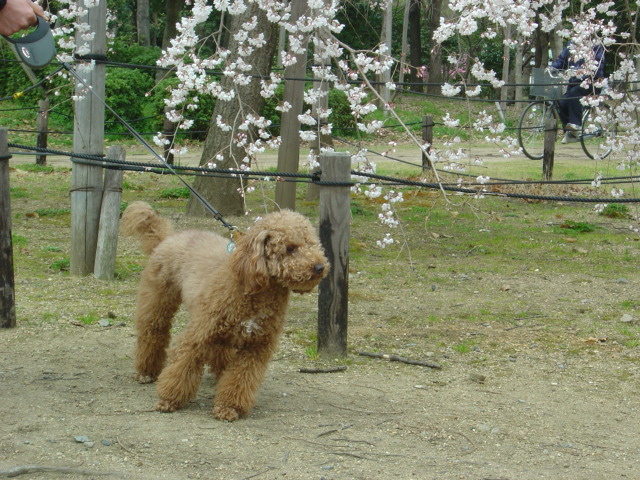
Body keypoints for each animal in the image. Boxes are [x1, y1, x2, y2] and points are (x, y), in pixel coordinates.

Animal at [121, 202, 330, 420]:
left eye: (313, 244)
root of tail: (168, 237)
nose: (319, 267)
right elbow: (182, 367)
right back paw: (147, 372)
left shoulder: (256, 347)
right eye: (290, 248)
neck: (255, 291)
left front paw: (229, 407)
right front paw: (169, 399)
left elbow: (240, 378)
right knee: (153, 332)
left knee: (220, 352)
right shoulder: (198, 336)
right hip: (158, 301)